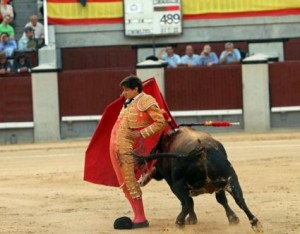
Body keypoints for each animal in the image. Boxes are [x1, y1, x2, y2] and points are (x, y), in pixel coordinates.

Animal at [135, 127, 264, 233]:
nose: (141, 180)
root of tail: (202, 150)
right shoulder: (220, 185)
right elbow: (222, 200)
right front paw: (233, 218)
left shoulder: (174, 185)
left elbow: (187, 202)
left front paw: (191, 219)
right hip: (232, 179)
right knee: (240, 200)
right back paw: (255, 223)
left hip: (178, 185)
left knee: (187, 203)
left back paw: (179, 222)